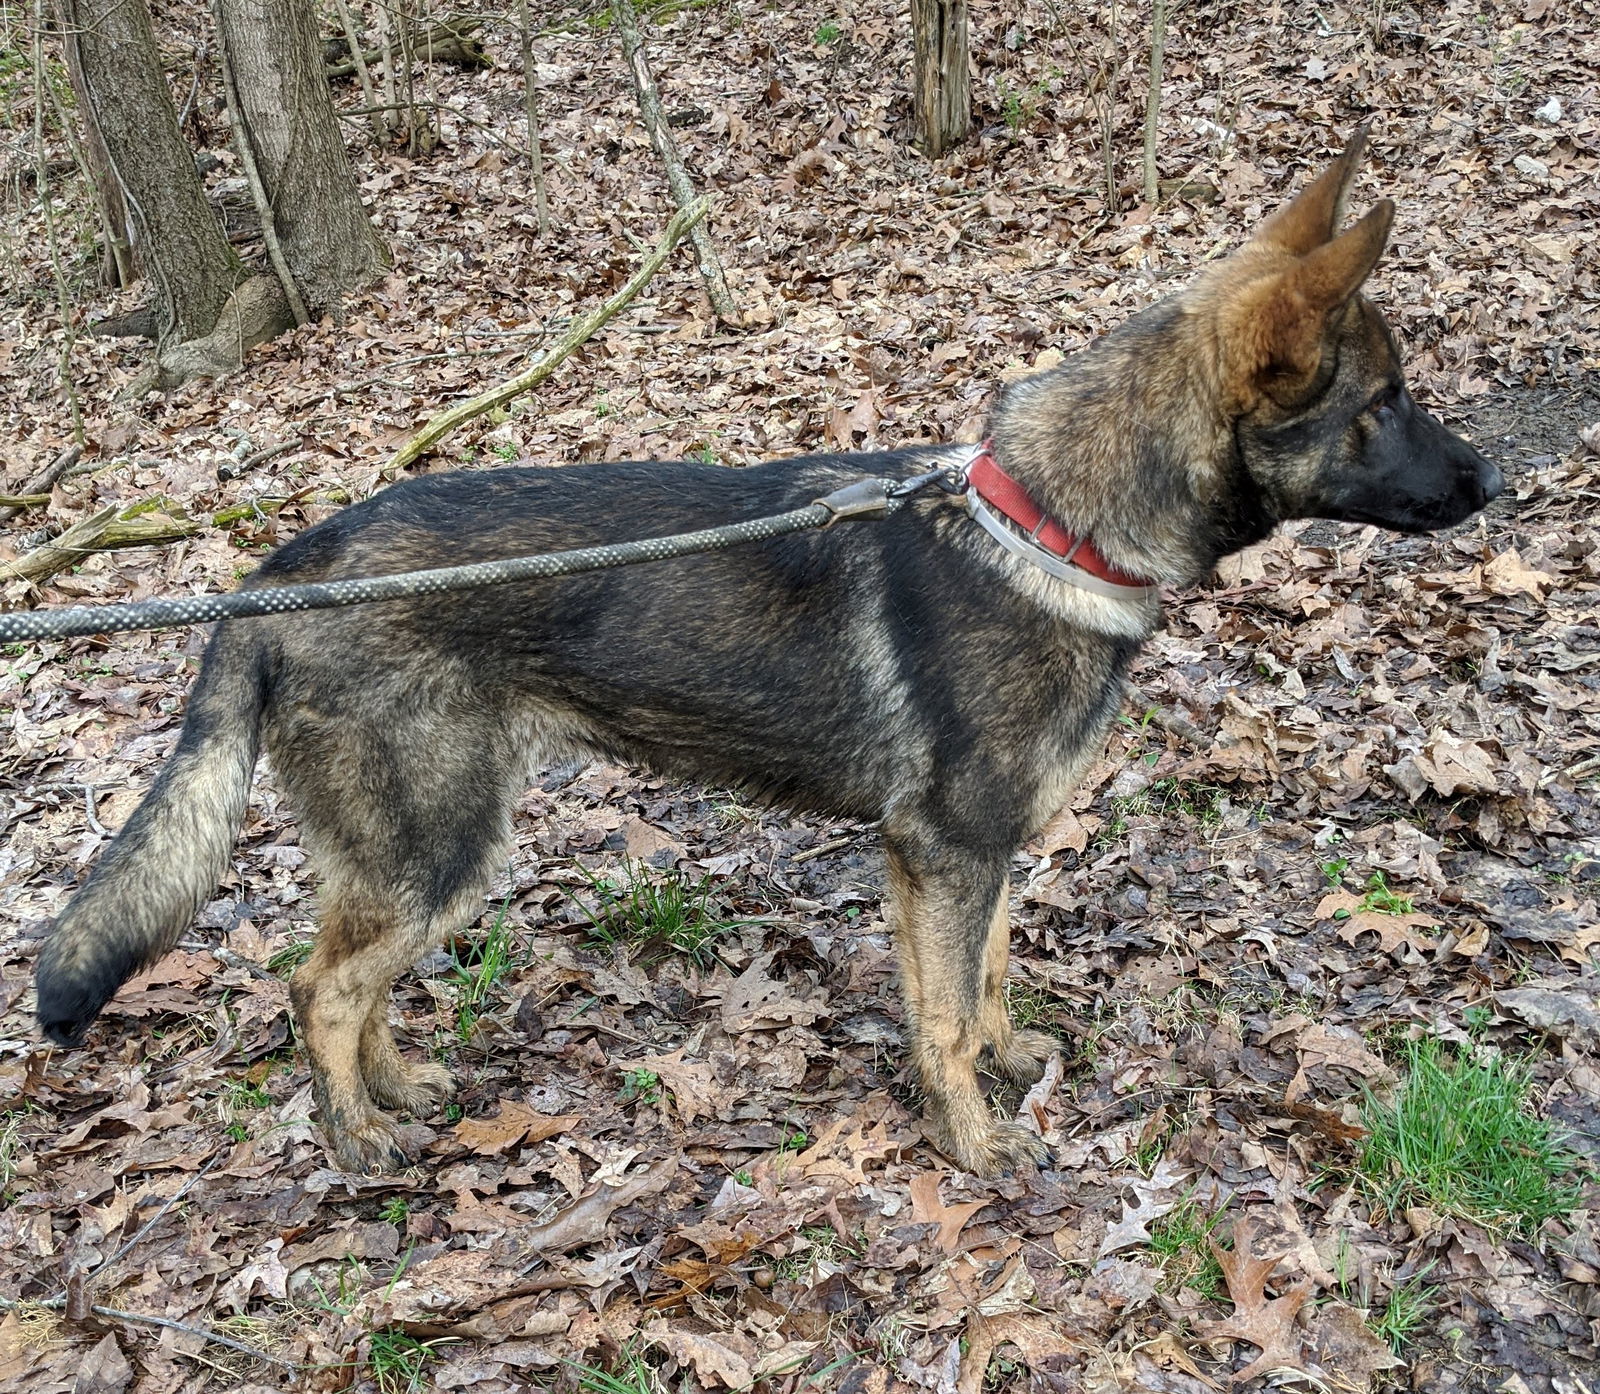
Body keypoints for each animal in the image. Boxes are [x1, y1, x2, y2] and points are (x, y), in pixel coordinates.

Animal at [34, 131, 1497, 1177]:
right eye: (1387, 402)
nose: (1493, 481)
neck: (1056, 520)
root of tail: (282, 569)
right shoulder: (943, 850)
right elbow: (941, 1013)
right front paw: (972, 1143)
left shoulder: (974, 855)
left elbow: (979, 982)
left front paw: (1000, 1065)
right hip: (436, 847)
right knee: (317, 987)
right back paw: (355, 1138)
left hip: (421, 856)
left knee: (347, 978)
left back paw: (396, 1087)